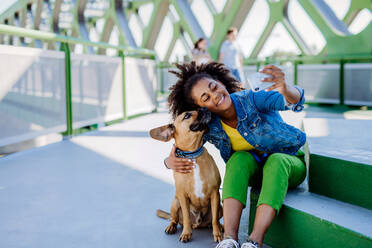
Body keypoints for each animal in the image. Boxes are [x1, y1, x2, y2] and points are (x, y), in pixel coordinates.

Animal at [150, 107, 222, 242]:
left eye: (198, 109)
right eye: (187, 115)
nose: (204, 108)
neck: (193, 155)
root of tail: (198, 224)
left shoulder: (215, 193)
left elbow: (215, 219)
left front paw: (218, 234)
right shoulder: (183, 196)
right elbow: (187, 217)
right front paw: (186, 233)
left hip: (220, 206)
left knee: (214, 220)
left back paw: (220, 226)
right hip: (175, 202)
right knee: (175, 219)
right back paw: (171, 227)